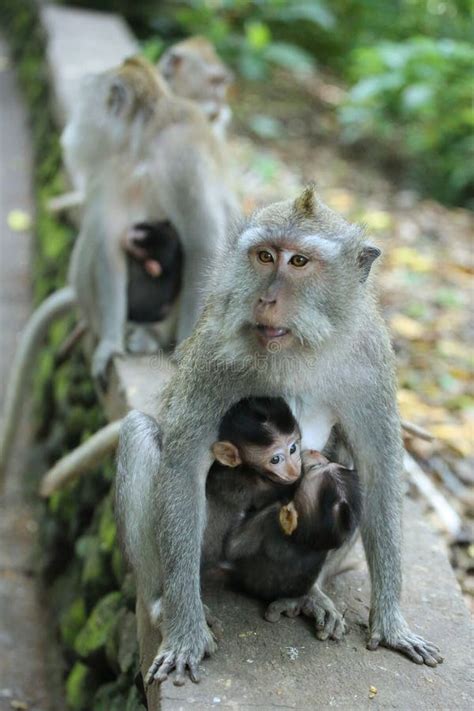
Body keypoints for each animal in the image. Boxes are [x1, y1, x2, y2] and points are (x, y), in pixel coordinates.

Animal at [116, 186, 442, 688]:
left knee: (345, 472)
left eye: (300, 262)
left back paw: (310, 595)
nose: (265, 300)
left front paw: (390, 622)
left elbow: (379, 466)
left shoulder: (369, 357)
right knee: (139, 435)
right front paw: (186, 632)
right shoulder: (213, 353)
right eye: (265, 256)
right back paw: (161, 604)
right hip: (207, 546)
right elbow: (183, 465)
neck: (298, 351)